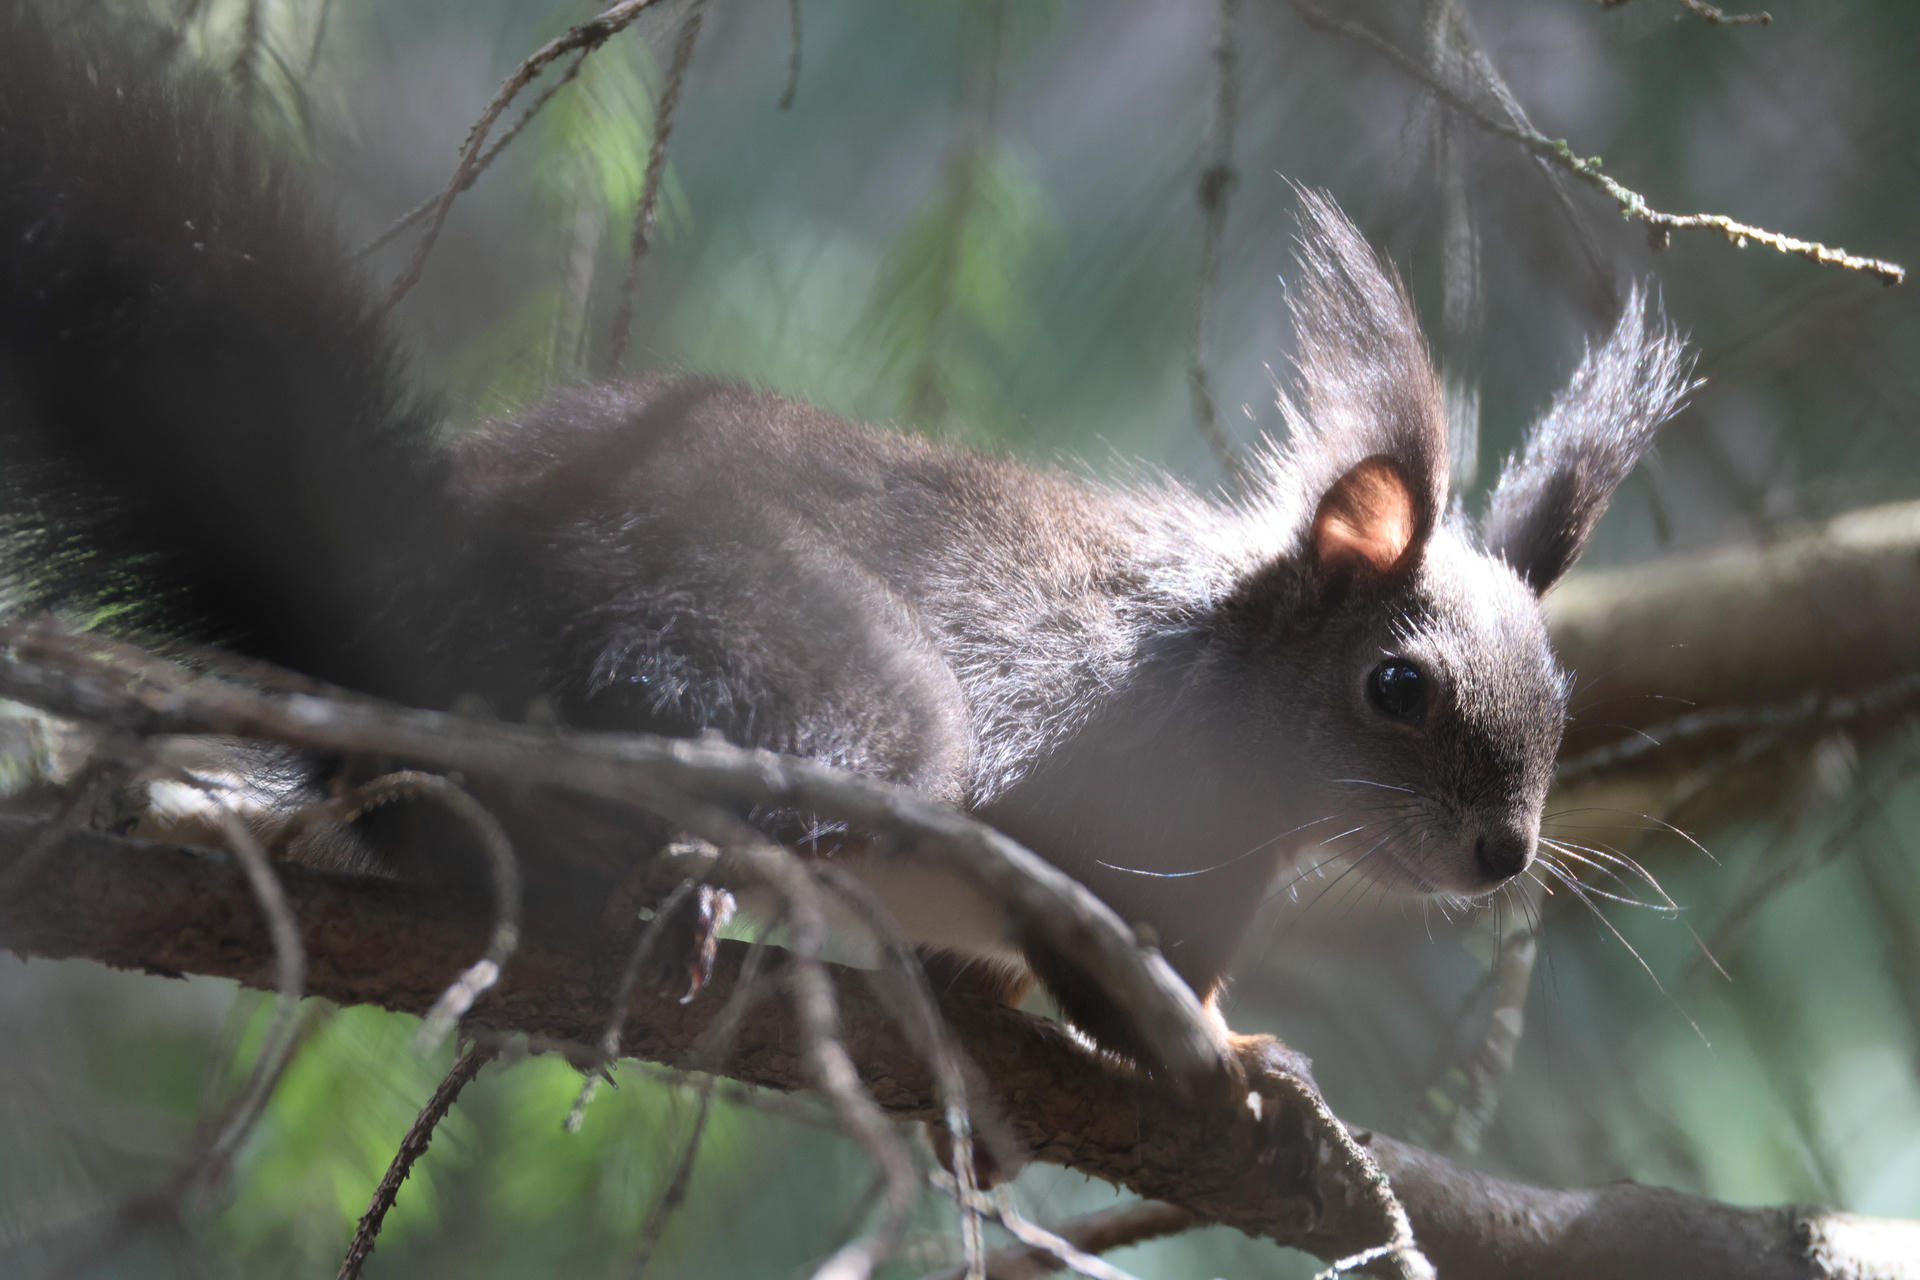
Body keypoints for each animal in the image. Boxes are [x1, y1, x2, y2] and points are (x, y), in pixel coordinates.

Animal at [0, 7, 1690, 1069]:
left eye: (1561, 694)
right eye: (1396, 688)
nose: (1503, 854)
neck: (1238, 696)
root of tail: (421, 584)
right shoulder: (1110, 824)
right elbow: (1119, 984)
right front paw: (1231, 1051)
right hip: (796, 664)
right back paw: (691, 878)